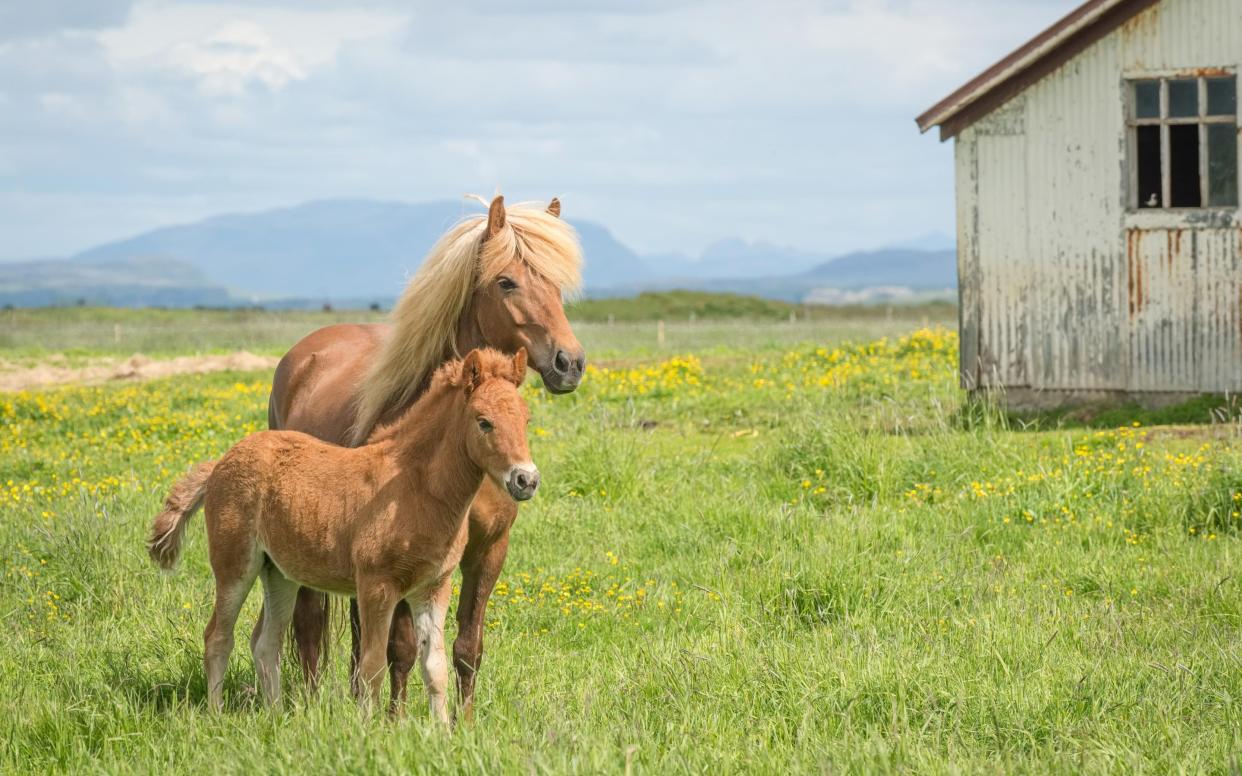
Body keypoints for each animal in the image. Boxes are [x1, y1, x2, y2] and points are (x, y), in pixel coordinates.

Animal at [147, 347, 536, 715]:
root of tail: (221, 463)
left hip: (279, 573)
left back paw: (276, 717)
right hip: (235, 565)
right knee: (218, 637)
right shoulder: (376, 586)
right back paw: (216, 715)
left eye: (526, 419)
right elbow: (372, 666)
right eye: (484, 422)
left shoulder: (433, 587)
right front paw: (370, 730)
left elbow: (434, 667)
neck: (414, 487)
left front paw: (441, 732)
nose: (526, 480)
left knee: (265, 644)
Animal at [262, 193, 581, 715]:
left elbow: (467, 647)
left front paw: (465, 721)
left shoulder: (488, 551)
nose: (569, 363)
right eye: (506, 281)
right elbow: (403, 648)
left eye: (556, 284)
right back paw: (310, 704)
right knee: (310, 624)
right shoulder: (404, 559)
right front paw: (395, 720)